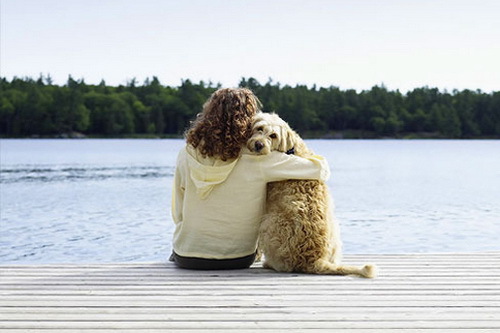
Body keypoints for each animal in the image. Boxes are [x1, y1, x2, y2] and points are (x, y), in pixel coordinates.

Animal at [246, 112, 376, 278]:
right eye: (259, 128)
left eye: (273, 135)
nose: (258, 145)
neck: (290, 149)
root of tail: (314, 259)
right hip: (335, 228)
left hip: (270, 222)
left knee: (283, 264)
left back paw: (269, 263)